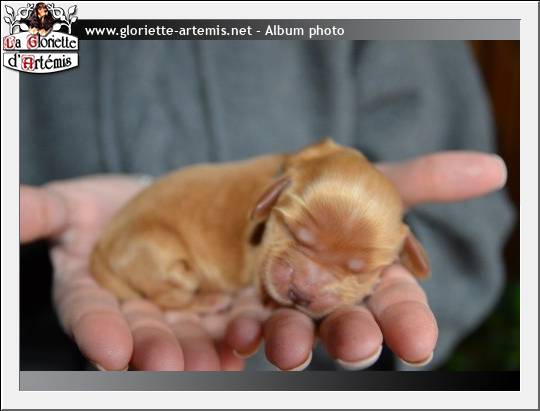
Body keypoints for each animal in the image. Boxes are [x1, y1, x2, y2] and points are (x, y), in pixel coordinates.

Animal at [91, 139, 429, 319]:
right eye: (293, 232)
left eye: (357, 270)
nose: (300, 293)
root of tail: (101, 248)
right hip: (165, 259)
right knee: (166, 299)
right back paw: (209, 301)